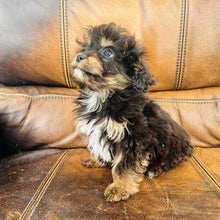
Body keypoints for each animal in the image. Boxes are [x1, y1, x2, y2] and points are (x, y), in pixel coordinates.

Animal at [71, 23, 193, 202]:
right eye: (86, 48)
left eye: (108, 52)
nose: (79, 56)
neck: (104, 94)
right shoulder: (99, 130)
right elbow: (98, 144)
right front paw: (96, 159)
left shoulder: (133, 137)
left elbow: (124, 164)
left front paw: (119, 188)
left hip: (172, 143)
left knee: (172, 160)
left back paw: (155, 169)